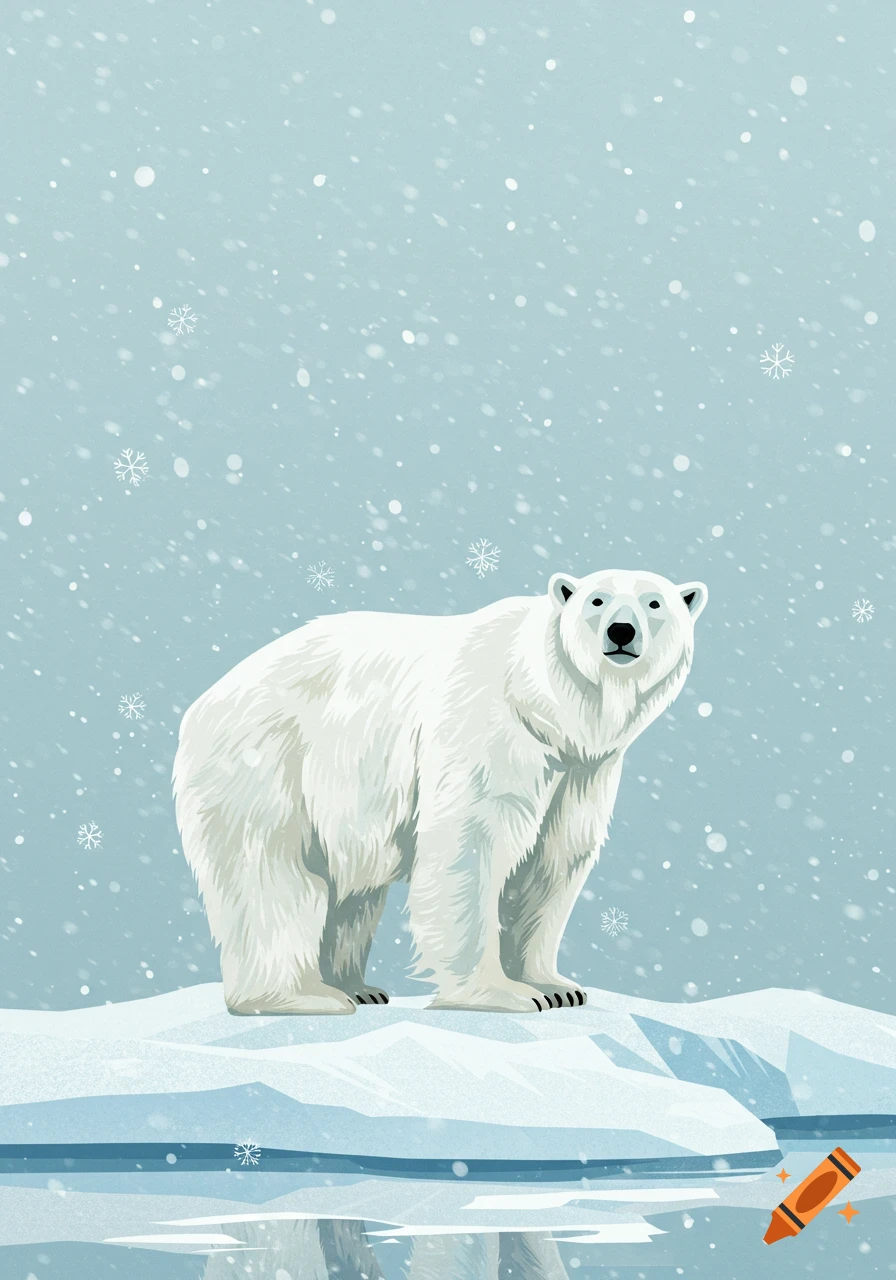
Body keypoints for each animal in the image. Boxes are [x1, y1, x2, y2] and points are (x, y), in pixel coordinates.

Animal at [173, 568, 707, 1016]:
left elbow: (552, 859)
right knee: (272, 878)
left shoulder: (581, 772)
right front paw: (505, 994)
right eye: (596, 600)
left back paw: (357, 988)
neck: (545, 704)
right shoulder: (489, 729)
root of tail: (198, 707)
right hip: (267, 767)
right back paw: (304, 997)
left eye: (655, 603)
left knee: (349, 896)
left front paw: (555, 987)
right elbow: (471, 845)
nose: (622, 632)